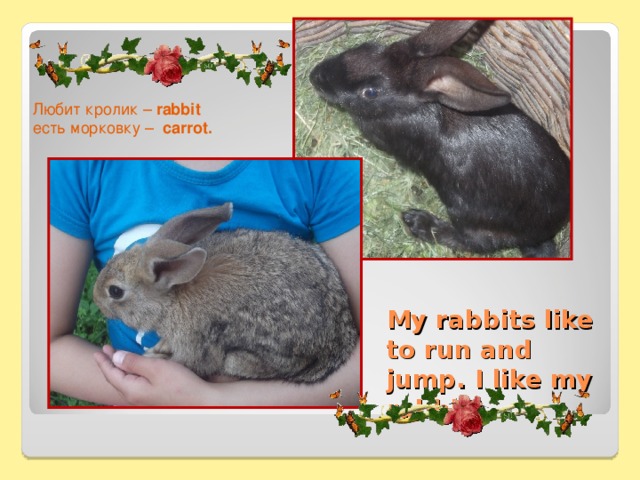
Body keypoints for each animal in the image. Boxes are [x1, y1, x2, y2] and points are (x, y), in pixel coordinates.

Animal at [92, 203, 359, 383]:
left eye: (115, 291)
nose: (96, 300)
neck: (173, 296)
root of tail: (337, 340)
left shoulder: (194, 344)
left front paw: (154, 357)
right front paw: (156, 349)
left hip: (247, 359)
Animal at [309, 20, 570, 257]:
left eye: (370, 92)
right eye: (368, 46)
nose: (315, 76)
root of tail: (542, 234)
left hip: (465, 213)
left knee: (474, 243)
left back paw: (418, 222)